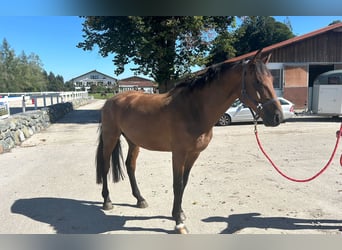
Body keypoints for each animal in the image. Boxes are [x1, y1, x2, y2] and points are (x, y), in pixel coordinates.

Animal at [95, 49, 282, 233]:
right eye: (257, 81)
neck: (193, 109)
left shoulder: (194, 154)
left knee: (130, 166)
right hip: (111, 137)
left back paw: (140, 199)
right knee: (105, 166)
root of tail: (110, 100)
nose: (278, 116)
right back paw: (107, 201)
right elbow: (177, 184)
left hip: (134, 141)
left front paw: (179, 213)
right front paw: (178, 223)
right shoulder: (178, 154)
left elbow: (183, 183)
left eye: (272, 80)